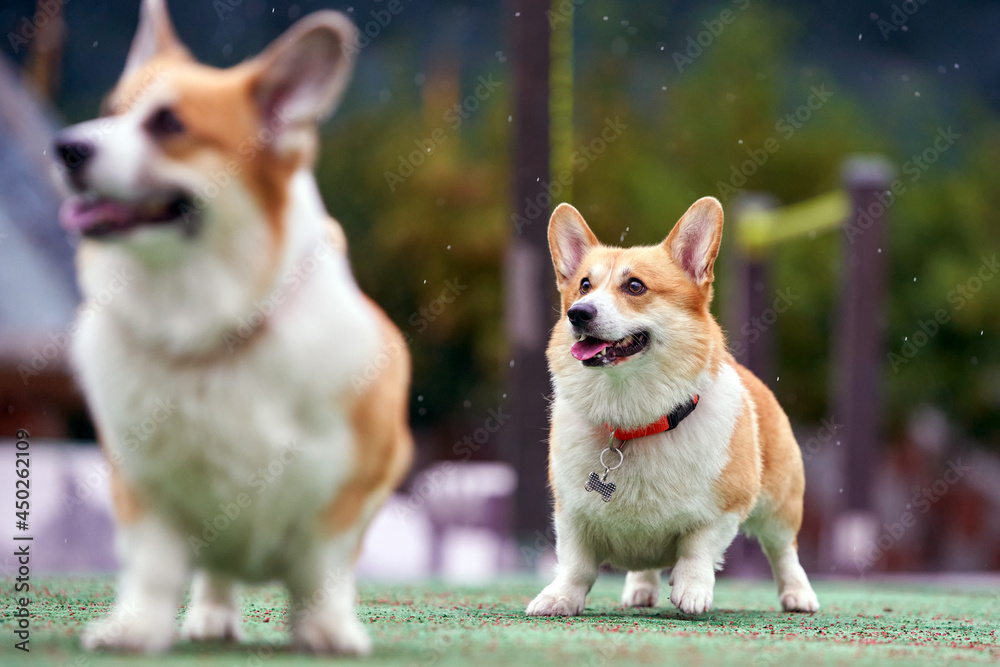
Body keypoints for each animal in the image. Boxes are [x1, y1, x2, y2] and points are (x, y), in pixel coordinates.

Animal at [49, 0, 410, 656]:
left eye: (168, 124)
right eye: (110, 111)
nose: (65, 147)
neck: (207, 324)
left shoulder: (346, 488)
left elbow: (321, 568)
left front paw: (325, 631)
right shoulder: (142, 484)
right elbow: (152, 566)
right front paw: (135, 629)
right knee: (215, 574)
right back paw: (212, 616)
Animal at [528, 201, 816, 620]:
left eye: (634, 286)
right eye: (584, 285)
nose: (578, 313)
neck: (633, 422)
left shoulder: (725, 508)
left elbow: (698, 549)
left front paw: (692, 591)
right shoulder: (571, 513)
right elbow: (576, 563)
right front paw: (560, 598)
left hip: (780, 505)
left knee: (784, 552)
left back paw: (798, 595)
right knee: (644, 566)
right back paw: (640, 589)